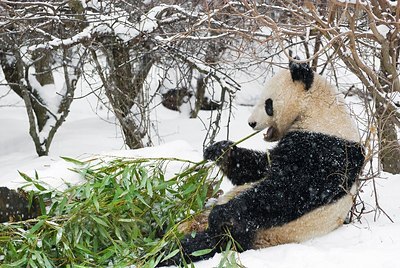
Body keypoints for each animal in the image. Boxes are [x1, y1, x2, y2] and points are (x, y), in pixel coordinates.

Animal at [162, 60, 366, 266]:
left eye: (268, 104)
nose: (251, 123)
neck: (318, 111)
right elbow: (259, 168)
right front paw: (220, 150)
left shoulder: (324, 151)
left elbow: (286, 191)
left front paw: (222, 213)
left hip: (249, 233)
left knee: (204, 243)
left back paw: (168, 249)